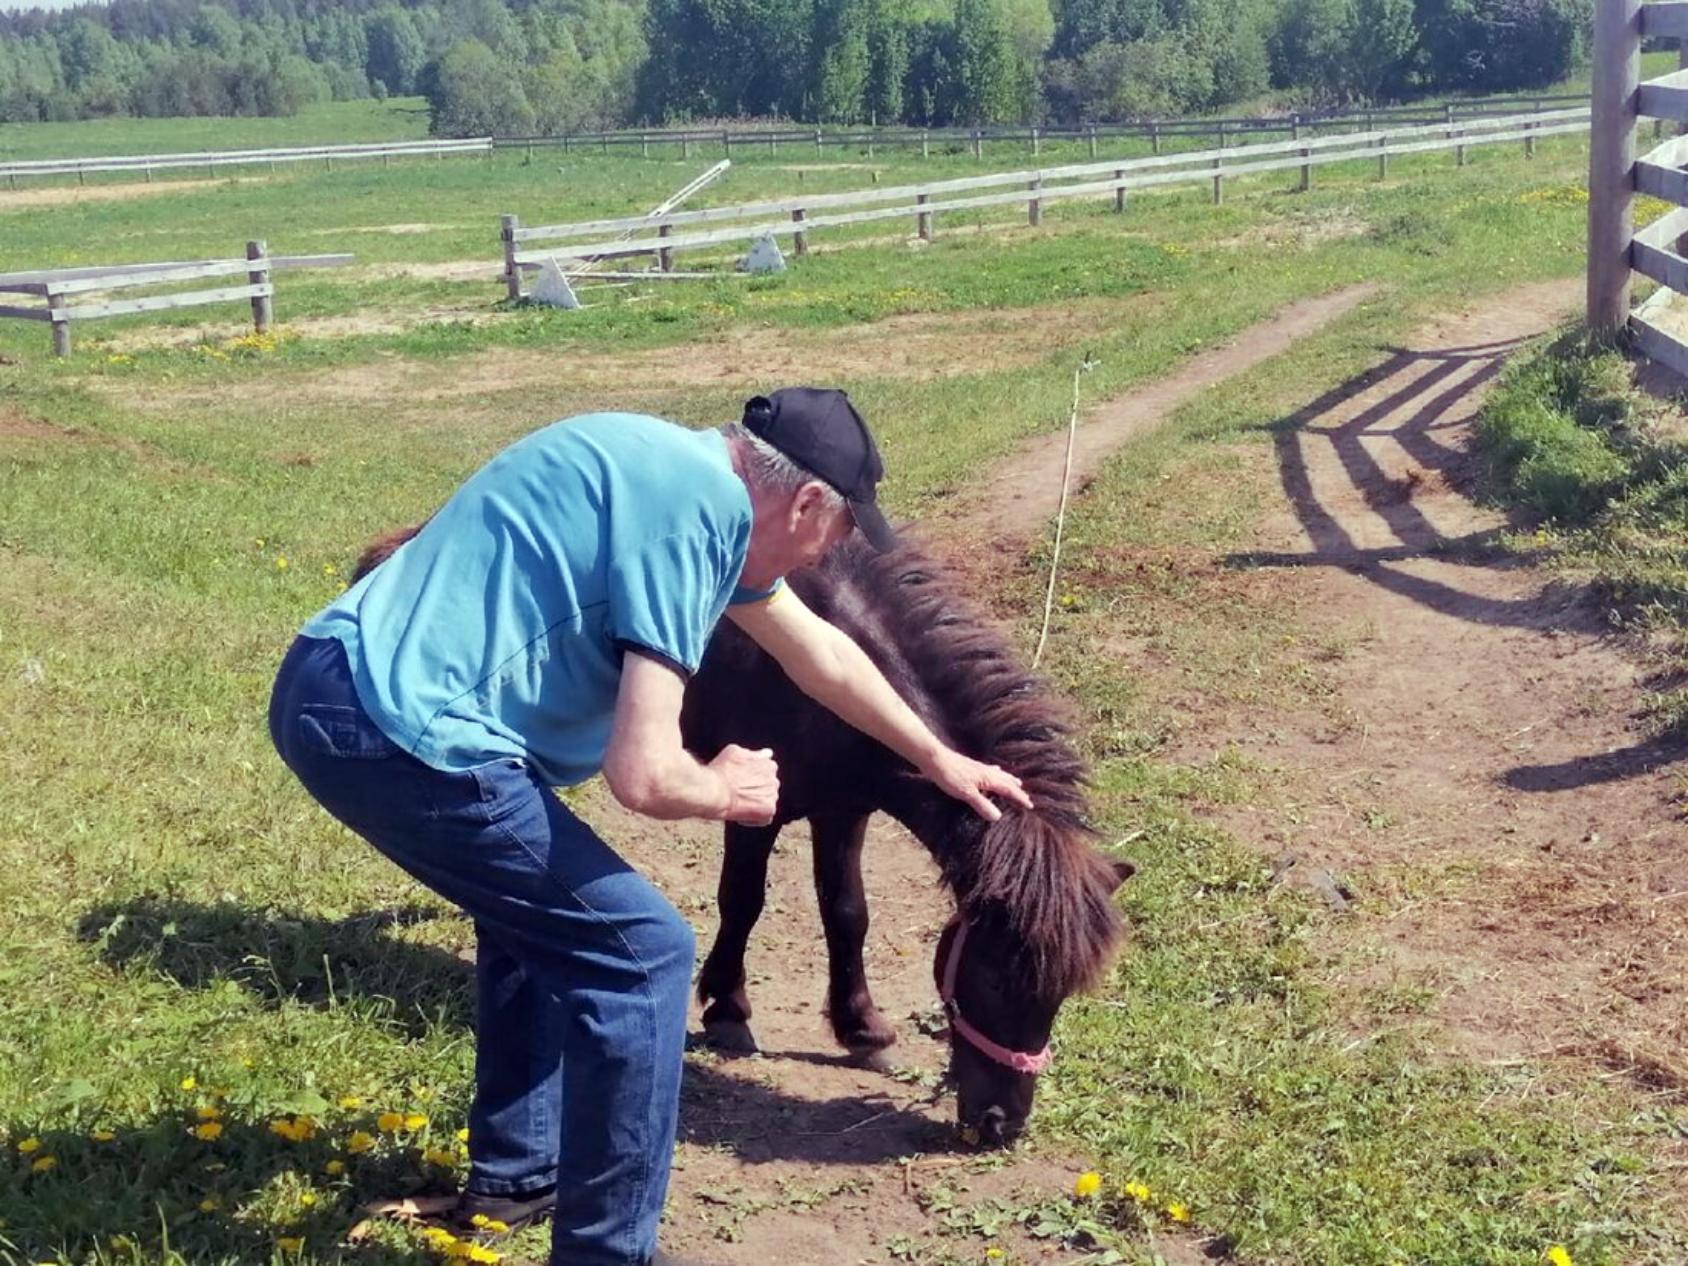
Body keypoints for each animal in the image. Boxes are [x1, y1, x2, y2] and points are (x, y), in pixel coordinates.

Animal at [349, 526, 1127, 1147]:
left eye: (1063, 992)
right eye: (993, 972)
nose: (1000, 1126)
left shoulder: (843, 814)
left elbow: (847, 914)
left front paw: (861, 1029)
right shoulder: (758, 808)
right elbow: (743, 902)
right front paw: (728, 1012)